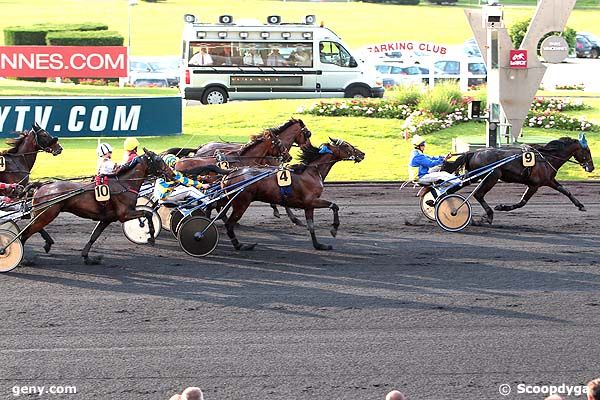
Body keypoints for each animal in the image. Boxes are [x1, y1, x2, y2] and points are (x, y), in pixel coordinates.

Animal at [1, 122, 63, 253]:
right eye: (44, 134)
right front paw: (48, 241)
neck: (17, 161)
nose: (59, 148)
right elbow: (29, 215)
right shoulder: (16, 192)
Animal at [19, 148, 175, 264]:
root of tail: (41, 186)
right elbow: (148, 213)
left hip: (42, 214)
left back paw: (47, 242)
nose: (172, 174)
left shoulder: (107, 219)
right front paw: (150, 236)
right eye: (158, 159)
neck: (124, 184)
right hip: (47, 214)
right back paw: (23, 258)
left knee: (32, 227)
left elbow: (94, 236)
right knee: (26, 232)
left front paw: (87, 257)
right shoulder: (125, 214)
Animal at [218, 138, 364, 250]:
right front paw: (334, 229)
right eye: (346, 145)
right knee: (229, 224)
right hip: (242, 203)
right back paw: (240, 245)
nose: (362, 153)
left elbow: (311, 225)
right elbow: (334, 206)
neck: (310, 172)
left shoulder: (308, 206)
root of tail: (230, 173)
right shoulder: (311, 200)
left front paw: (318, 245)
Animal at [442, 135, 592, 225]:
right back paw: (488, 216)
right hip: (491, 176)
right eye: (587, 151)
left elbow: (565, 191)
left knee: (456, 187)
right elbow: (522, 202)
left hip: (475, 176)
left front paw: (580, 205)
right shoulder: (534, 185)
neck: (546, 158)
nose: (591, 167)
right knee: (478, 194)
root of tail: (473, 152)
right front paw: (502, 207)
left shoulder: (548, 181)